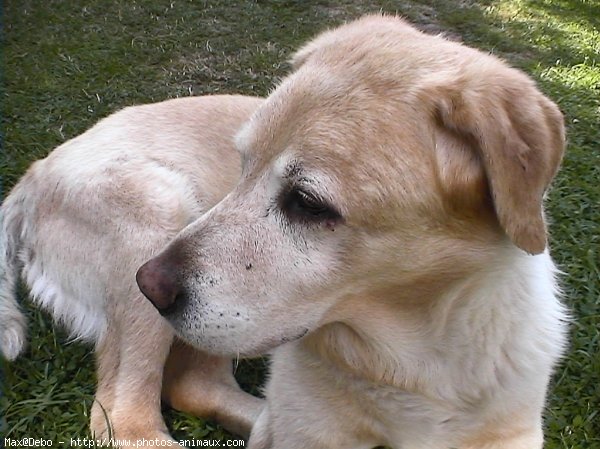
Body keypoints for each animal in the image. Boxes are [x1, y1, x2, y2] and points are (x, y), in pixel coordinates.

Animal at [2, 15, 568, 448]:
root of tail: (34, 172)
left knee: (192, 385)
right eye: (243, 165)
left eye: (308, 204)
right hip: (160, 210)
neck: (418, 359)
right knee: (126, 412)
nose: (149, 285)